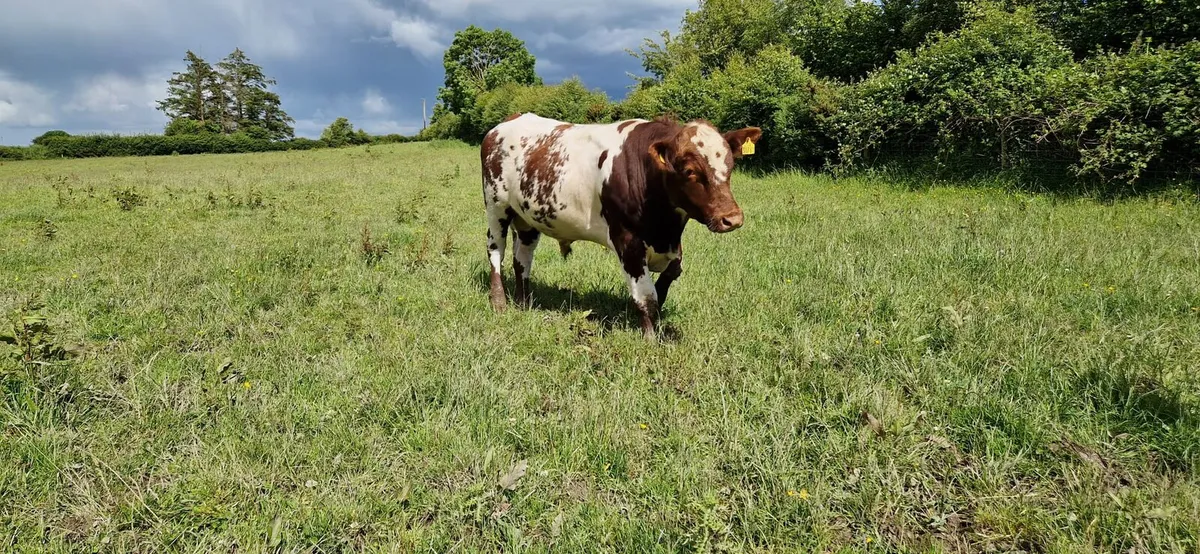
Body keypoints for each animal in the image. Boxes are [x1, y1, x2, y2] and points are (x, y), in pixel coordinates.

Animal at [480, 112, 762, 340]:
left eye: (730, 164)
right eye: (689, 170)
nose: (731, 218)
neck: (665, 228)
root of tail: (510, 121)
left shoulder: (670, 245)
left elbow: (667, 280)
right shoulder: (628, 241)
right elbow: (647, 296)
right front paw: (650, 339)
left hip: (527, 218)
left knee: (522, 260)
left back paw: (523, 302)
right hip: (496, 207)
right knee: (496, 252)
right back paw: (499, 302)